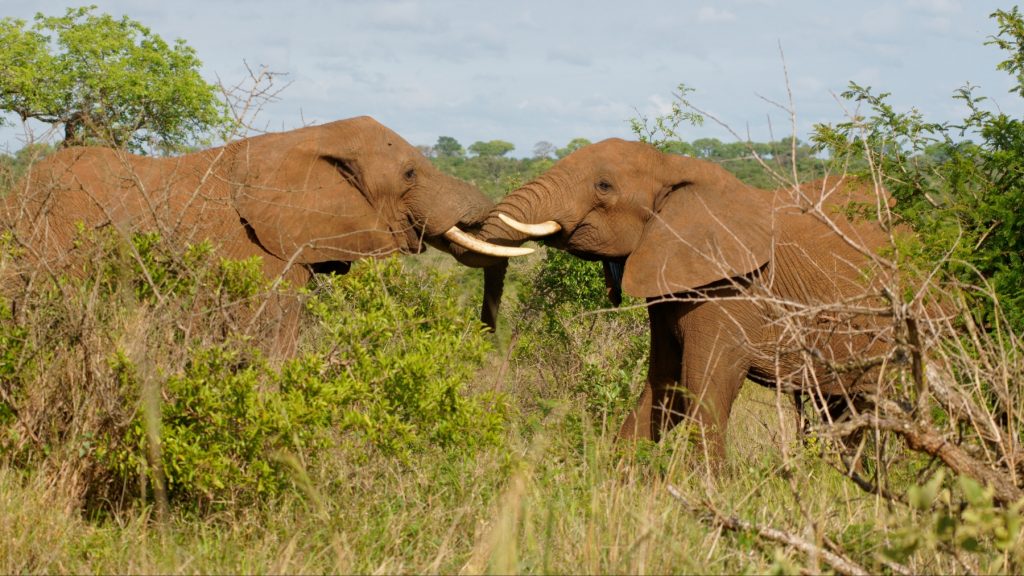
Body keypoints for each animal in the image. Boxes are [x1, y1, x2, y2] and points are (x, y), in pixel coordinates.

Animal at [468, 139, 901, 461]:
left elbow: (705, 388)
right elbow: (665, 387)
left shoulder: (730, 289)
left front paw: (711, 501)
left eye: (604, 186)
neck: (672, 165)